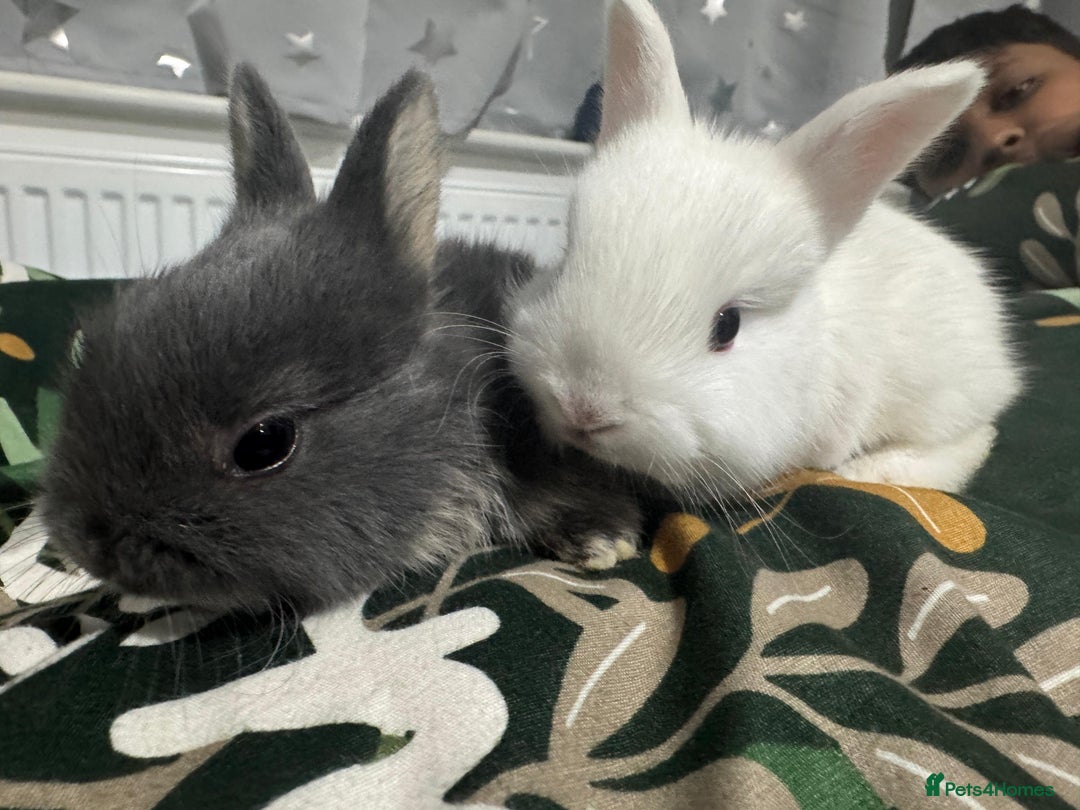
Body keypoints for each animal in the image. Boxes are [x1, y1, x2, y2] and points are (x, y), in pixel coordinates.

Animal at [507, 0, 1022, 505]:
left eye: (727, 326)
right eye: (564, 263)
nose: (583, 409)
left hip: (945, 397)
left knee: (975, 439)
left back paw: (873, 470)